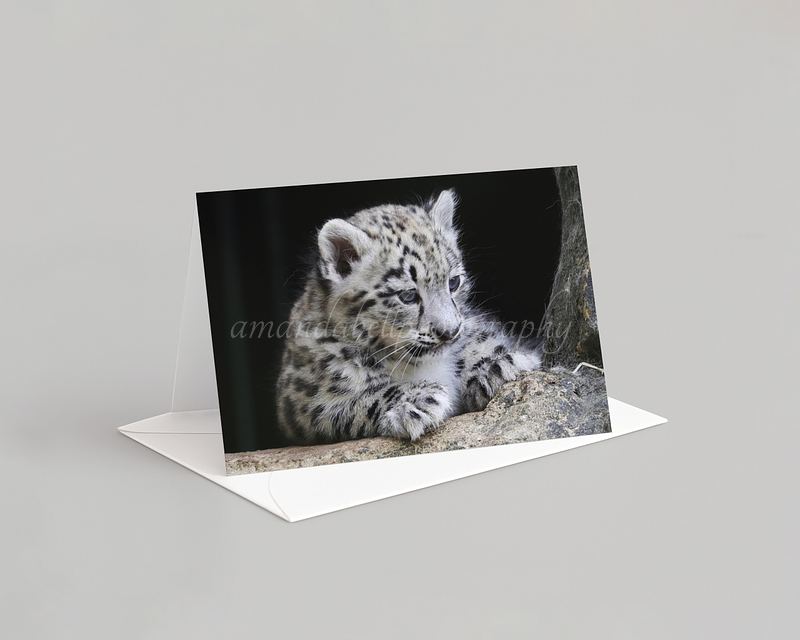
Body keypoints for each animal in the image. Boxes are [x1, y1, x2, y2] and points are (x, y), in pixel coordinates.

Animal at [276, 189, 541, 445]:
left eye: (453, 282)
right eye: (408, 295)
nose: (449, 332)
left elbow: (480, 342)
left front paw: (498, 366)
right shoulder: (306, 396)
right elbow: (356, 395)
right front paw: (416, 401)